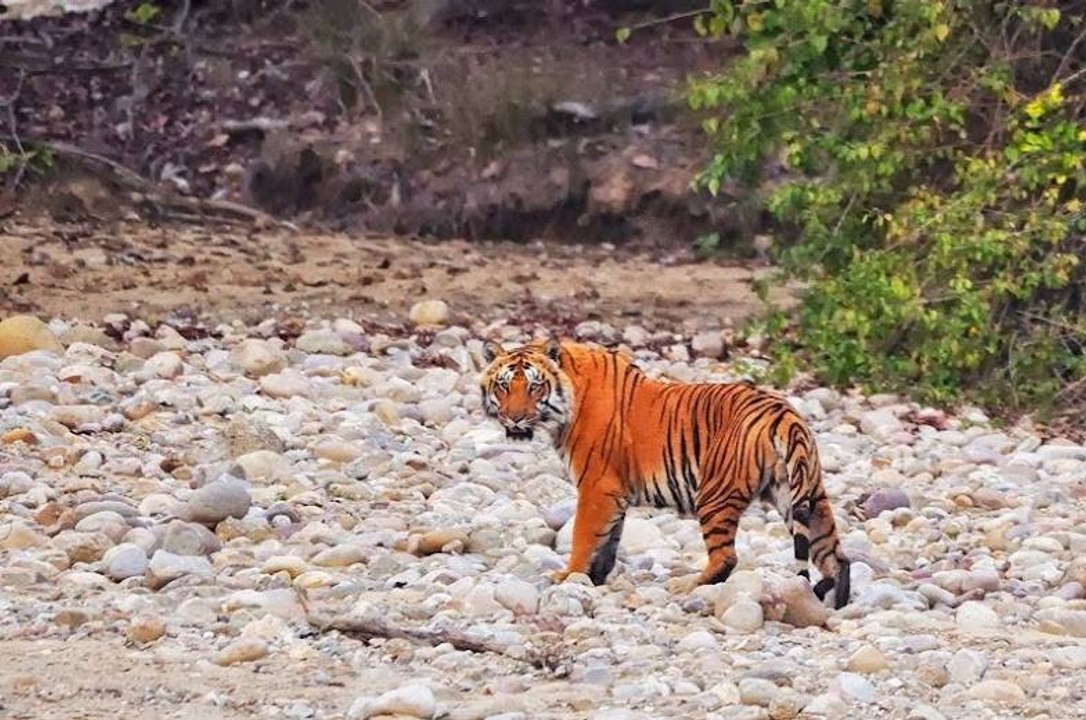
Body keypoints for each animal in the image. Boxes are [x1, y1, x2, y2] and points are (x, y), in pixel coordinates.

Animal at [479, 335, 852, 609]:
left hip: (715, 494)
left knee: (726, 558)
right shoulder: (615, 494)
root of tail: (783, 412)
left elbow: (583, 535)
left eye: (534, 387)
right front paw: (594, 578)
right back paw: (837, 602)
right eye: (503, 386)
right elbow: (608, 540)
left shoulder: (597, 486)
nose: (514, 418)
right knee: (836, 556)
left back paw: (686, 584)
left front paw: (568, 575)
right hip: (803, 495)